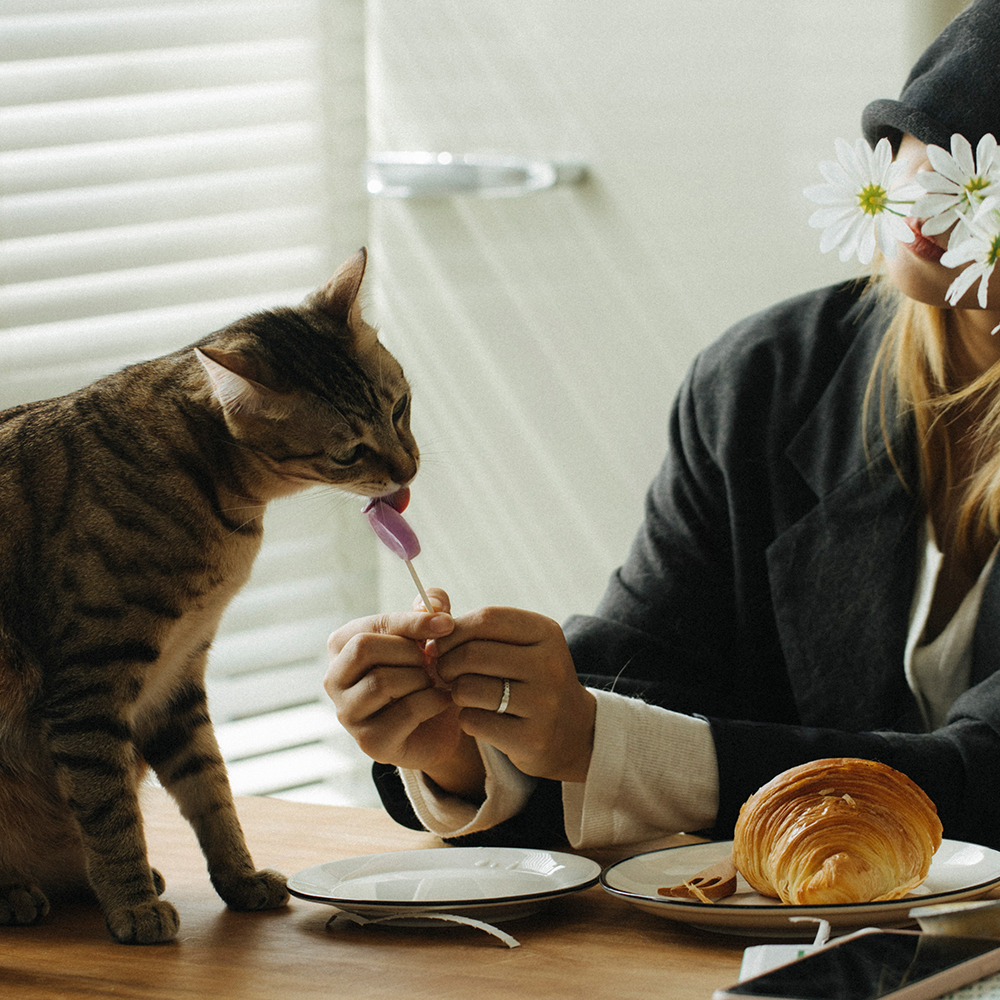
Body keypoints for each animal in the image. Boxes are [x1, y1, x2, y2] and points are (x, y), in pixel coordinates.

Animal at [0, 248, 416, 944]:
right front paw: (132, 905)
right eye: (349, 453)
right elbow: (110, 810)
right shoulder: (91, 685)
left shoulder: (178, 679)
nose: (408, 470)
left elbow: (212, 792)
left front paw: (239, 879)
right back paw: (20, 892)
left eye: (401, 408)